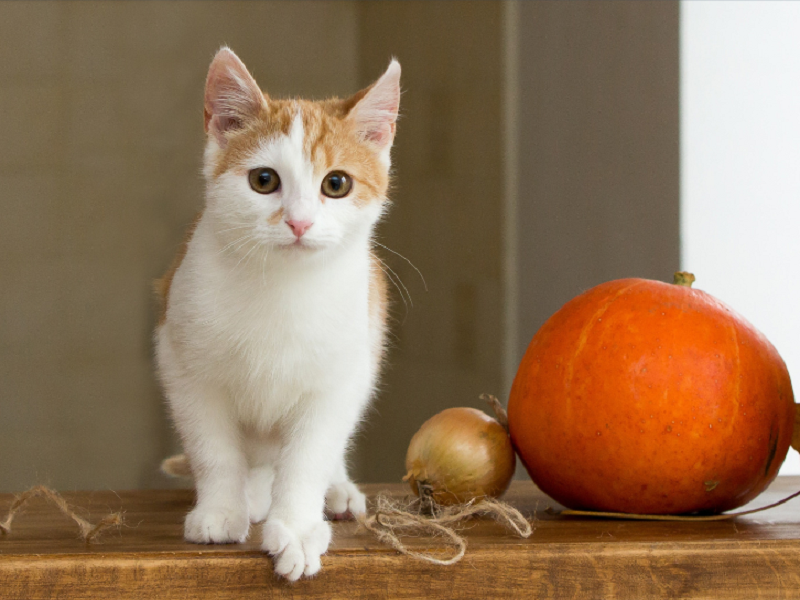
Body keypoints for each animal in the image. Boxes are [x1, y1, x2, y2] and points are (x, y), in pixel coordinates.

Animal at [154, 48, 400, 580]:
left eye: (336, 184)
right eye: (263, 180)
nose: (299, 222)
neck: (283, 289)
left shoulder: (340, 375)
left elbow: (309, 455)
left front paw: (298, 528)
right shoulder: (183, 362)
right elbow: (213, 447)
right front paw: (221, 509)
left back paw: (334, 489)